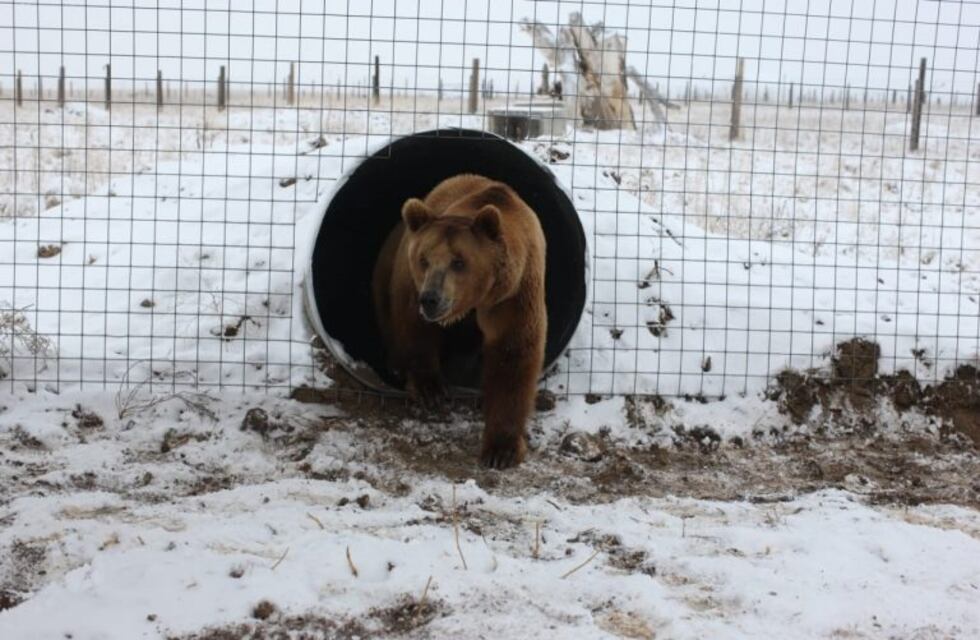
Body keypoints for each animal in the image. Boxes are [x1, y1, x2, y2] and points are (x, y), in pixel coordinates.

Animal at [372, 174, 547, 469]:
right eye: (424, 259)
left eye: (459, 262)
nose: (430, 298)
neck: (478, 300)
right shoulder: (411, 285)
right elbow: (415, 329)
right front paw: (430, 389)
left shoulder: (513, 296)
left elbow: (512, 355)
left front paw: (501, 450)